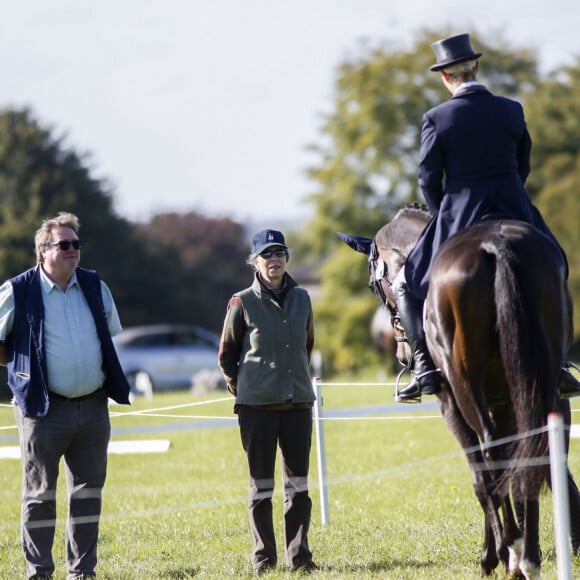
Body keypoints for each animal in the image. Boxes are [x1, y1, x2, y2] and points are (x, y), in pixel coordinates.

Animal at [338, 203, 568, 576]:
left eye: (374, 285)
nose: (402, 353)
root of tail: (494, 242)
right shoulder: (503, 400)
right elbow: (514, 461)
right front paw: (507, 551)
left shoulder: (450, 404)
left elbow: (481, 477)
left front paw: (494, 555)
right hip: (538, 378)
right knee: (533, 447)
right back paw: (529, 555)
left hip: (464, 389)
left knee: (491, 455)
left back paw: (515, 549)